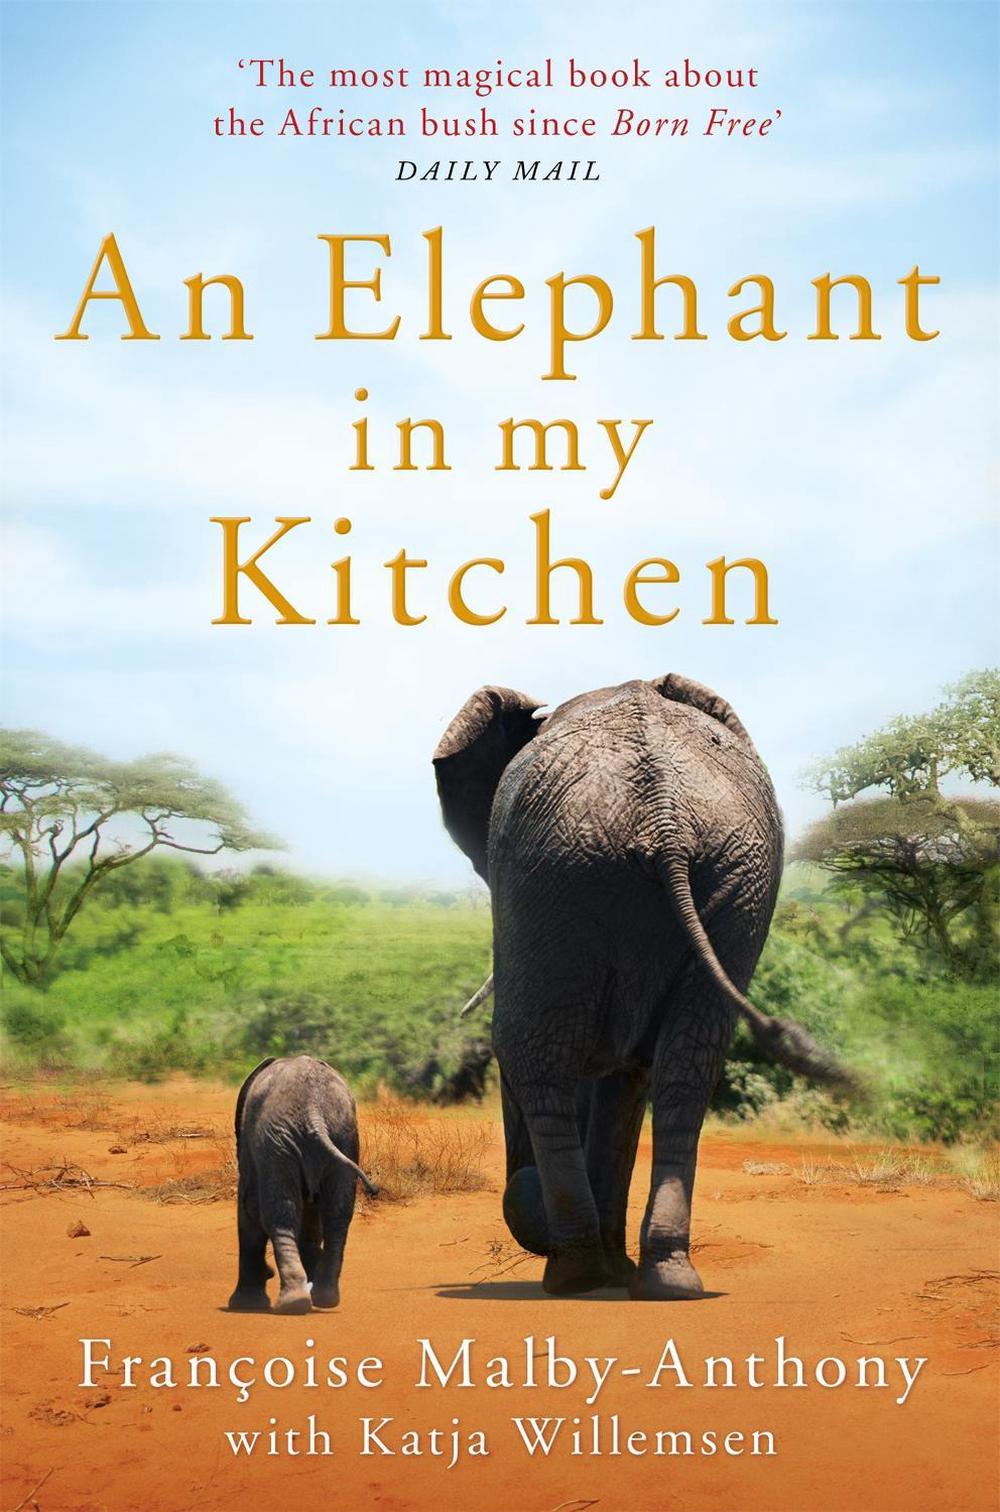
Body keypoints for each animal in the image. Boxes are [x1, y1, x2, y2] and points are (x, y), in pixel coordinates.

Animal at [228, 1055, 377, 1315]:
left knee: (280, 1213)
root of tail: (313, 1111)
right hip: (343, 1135)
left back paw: (293, 1303)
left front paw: (244, 1305)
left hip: (278, 1144)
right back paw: (324, 1298)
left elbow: (249, 1210)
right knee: (337, 1215)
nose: (269, 1272)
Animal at [434, 673, 847, 1301]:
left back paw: (576, 1274)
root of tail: (665, 821)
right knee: (687, 1065)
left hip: (561, 873)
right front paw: (619, 1271)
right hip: (726, 877)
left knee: (536, 1051)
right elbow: (628, 1074)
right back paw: (664, 1278)